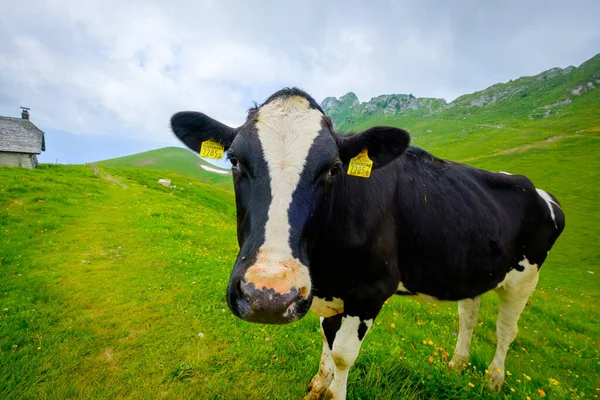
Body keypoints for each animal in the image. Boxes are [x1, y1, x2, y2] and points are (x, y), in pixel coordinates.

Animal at [171, 88, 564, 400]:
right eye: (234, 159)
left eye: (333, 168)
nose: (268, 297)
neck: (325, 267)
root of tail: (538, 191)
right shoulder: (326, 290)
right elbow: (327, 338)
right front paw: (319, 384)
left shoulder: (370, 290)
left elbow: (343, 353)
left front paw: (332, 391)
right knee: (469, 315)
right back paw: (457, 363)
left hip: (524, 277)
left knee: (506, 329)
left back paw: (494, 380)